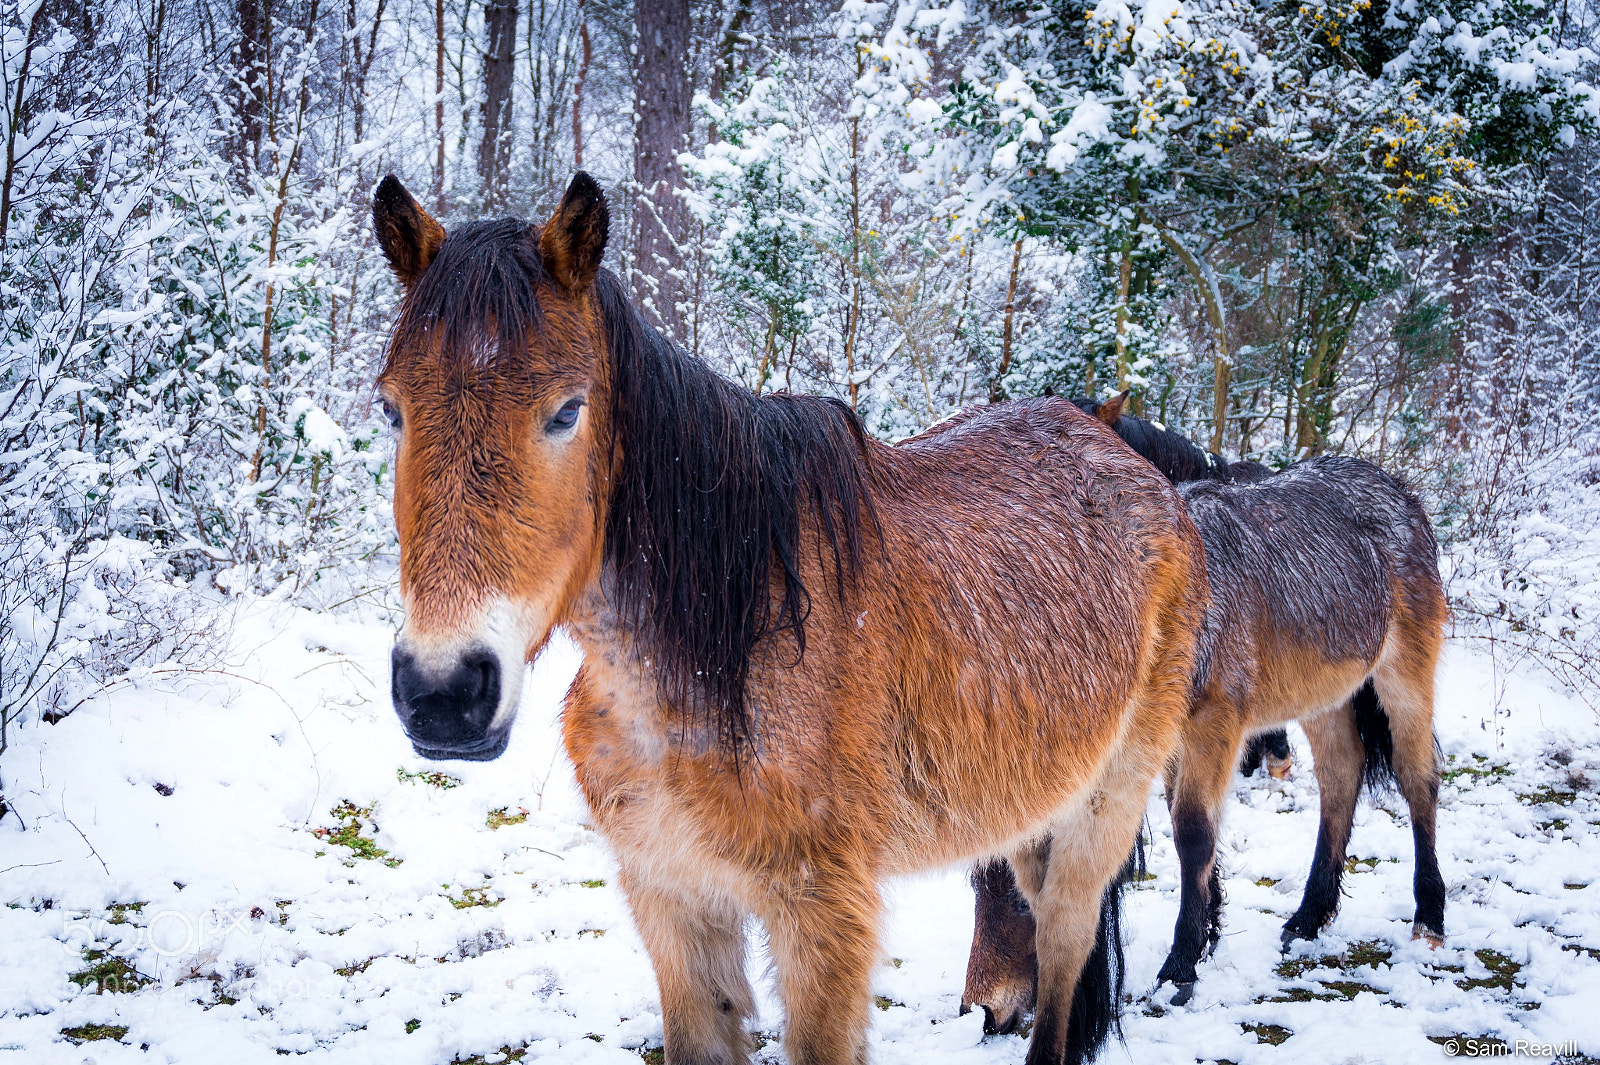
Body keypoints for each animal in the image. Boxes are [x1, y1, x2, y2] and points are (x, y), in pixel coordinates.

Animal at [371, 172, 1210, 1065]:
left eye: (567, 412)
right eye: (391, 410)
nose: (443, 693)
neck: (716, 659)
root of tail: (1142, 471)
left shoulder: (823, 917)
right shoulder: (673, 900)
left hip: (1105, 802)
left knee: (1064, 943)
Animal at [963, 393, 1447, 1024]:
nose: (985, 1009)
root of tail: (1396, 489)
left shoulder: (1215, 724)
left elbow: (1193, 832)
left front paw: (1181, 967)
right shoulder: (1169, 740)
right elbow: (1193, 830)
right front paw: (1209, 936)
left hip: (1404, 675)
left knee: (1418, 780)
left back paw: (1429, 918)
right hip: (1326, 697)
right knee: (1342, 778)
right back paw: (1308, 918)